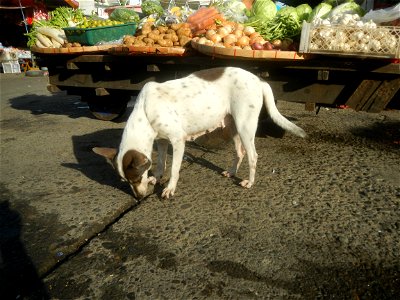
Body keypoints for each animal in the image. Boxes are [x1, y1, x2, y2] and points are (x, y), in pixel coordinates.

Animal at [94, 67, 306, 199]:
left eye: (136, 179)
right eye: (125, 181)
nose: (138, 197)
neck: (145, 112)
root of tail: (258, 79)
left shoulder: (177, 141)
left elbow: (174, 169)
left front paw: (169, 188)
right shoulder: (161, 141)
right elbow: (161, 162)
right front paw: (157, 177)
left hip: (245, 126)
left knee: (252, 155)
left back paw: (250, 182)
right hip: (232, 127)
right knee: (240, 152)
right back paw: (231, 172)